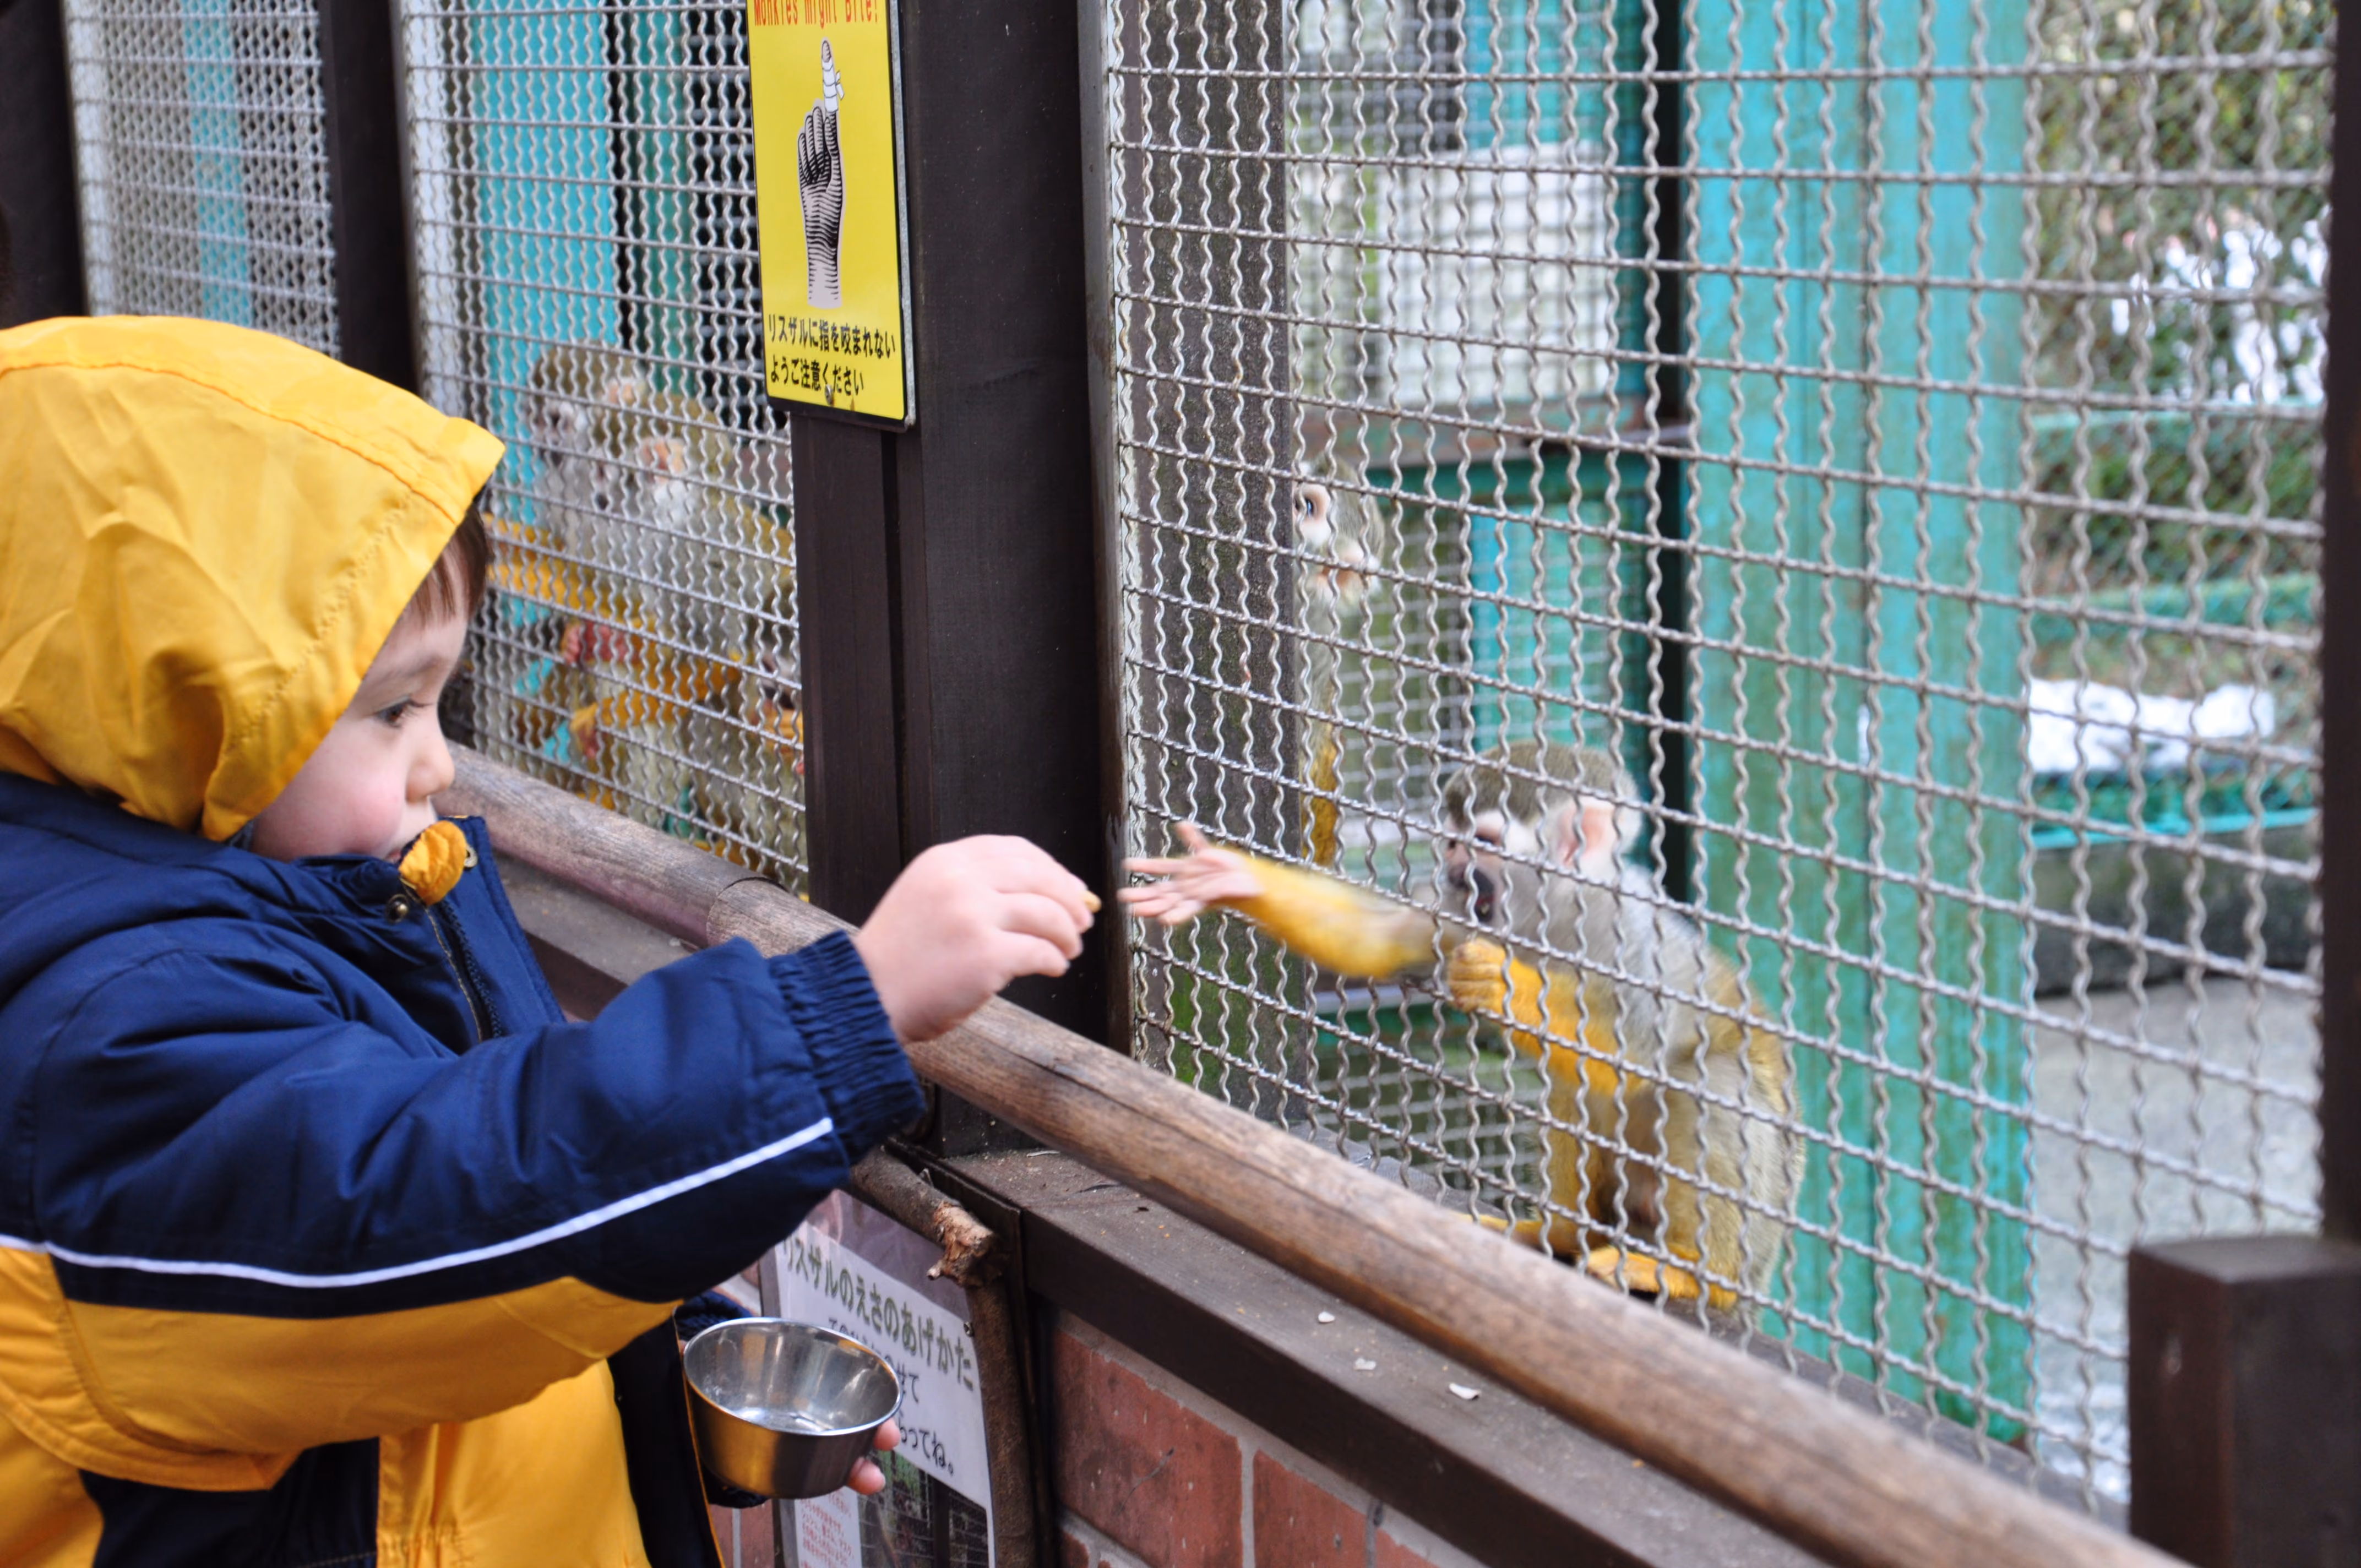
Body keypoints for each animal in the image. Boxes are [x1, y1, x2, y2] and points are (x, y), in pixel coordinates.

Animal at [1123, 740, 1803, 1313]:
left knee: (1708, 1082)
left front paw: (1504, 985)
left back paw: (1696, 1274)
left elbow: (1636, 1054)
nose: (1450, 869)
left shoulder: (1632, 940)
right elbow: (1382, 938)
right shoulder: (1462, 917)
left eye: (1482, 840)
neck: (1555, 913)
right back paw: (1560, 1235)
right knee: (1572, 1096)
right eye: (1450, 842)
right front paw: (1227, 877)